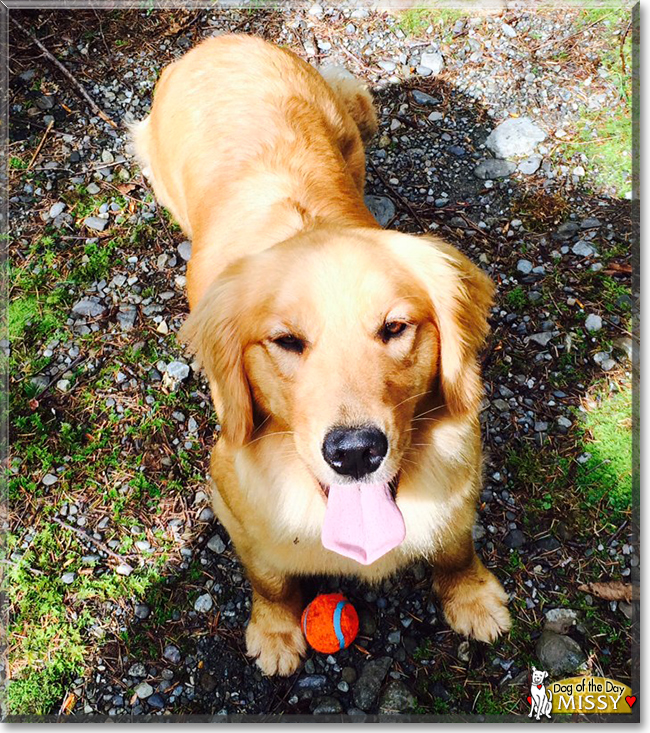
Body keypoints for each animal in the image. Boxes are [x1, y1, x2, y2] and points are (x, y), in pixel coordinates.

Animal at [130, 33, 506, 676]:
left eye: (394, 328)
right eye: (287, 341)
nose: (355, 453)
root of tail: (218, 40)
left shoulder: (462, 473)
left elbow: (456, 545)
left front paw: (473, 597)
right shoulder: (235, 500)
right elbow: (270, 576)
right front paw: (277, 631)